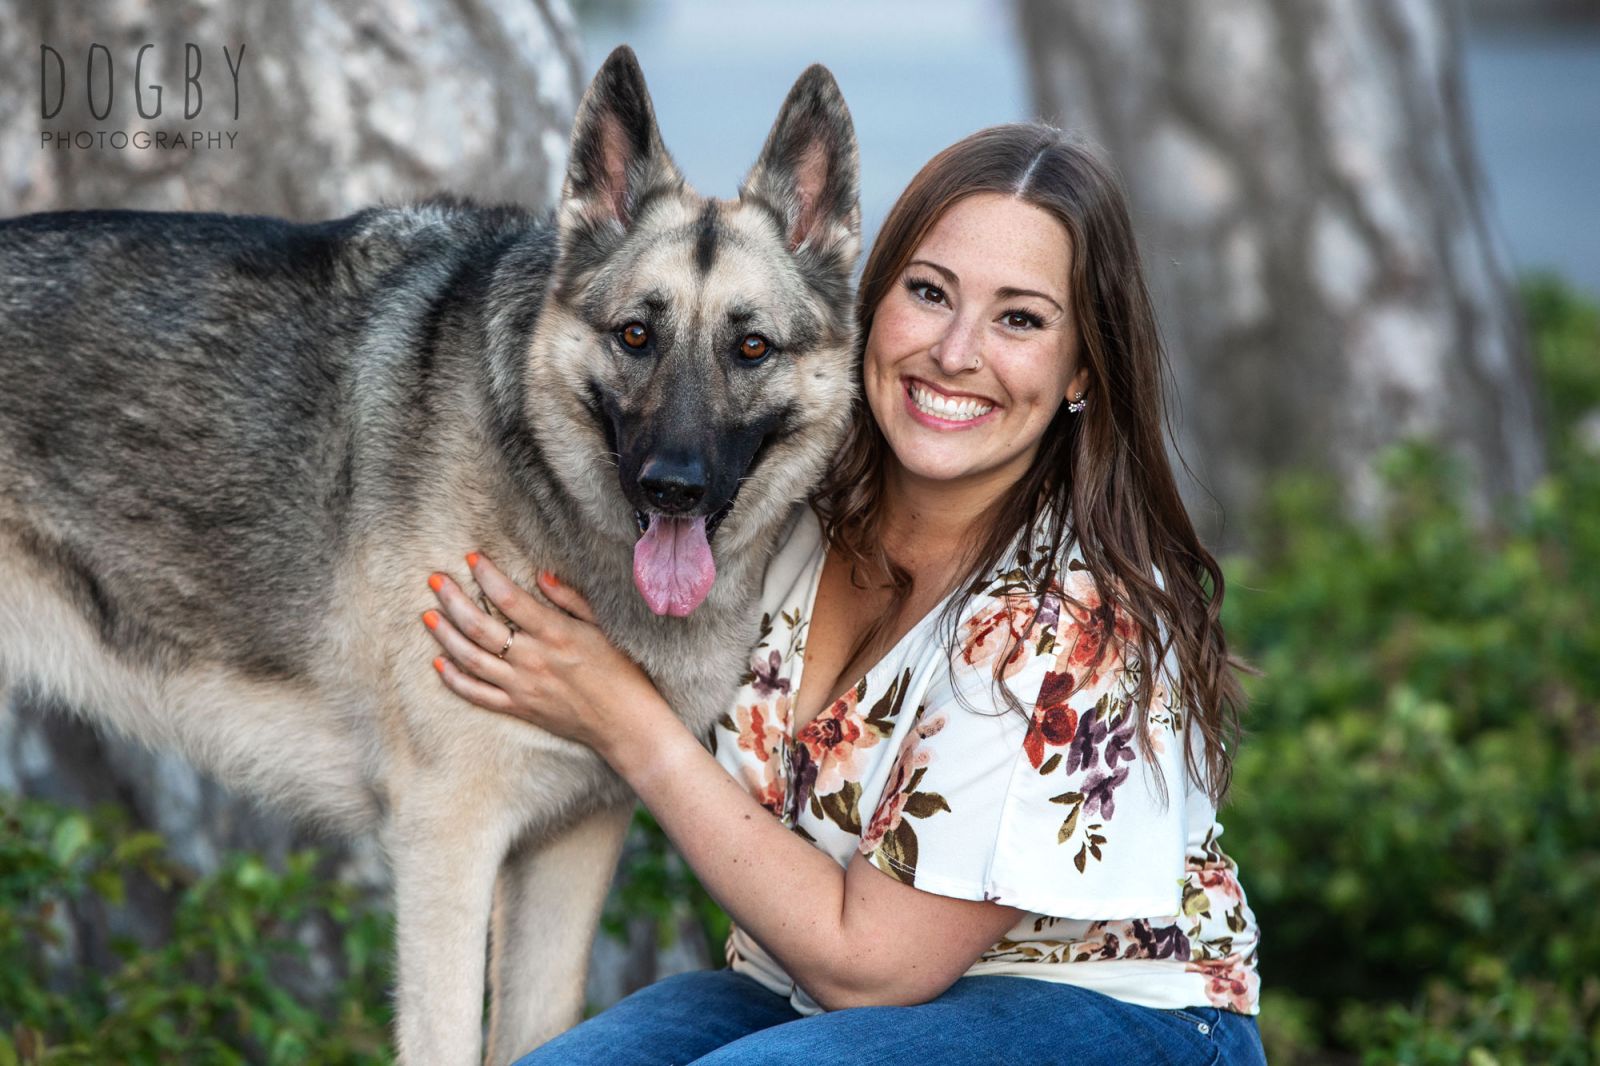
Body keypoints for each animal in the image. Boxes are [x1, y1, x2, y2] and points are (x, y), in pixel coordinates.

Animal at [0, 49, 864, 1062]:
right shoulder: (446, 844)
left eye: (752, 347)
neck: (541, 489)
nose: (671, 490)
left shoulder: (570, 848)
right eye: (635, 336)